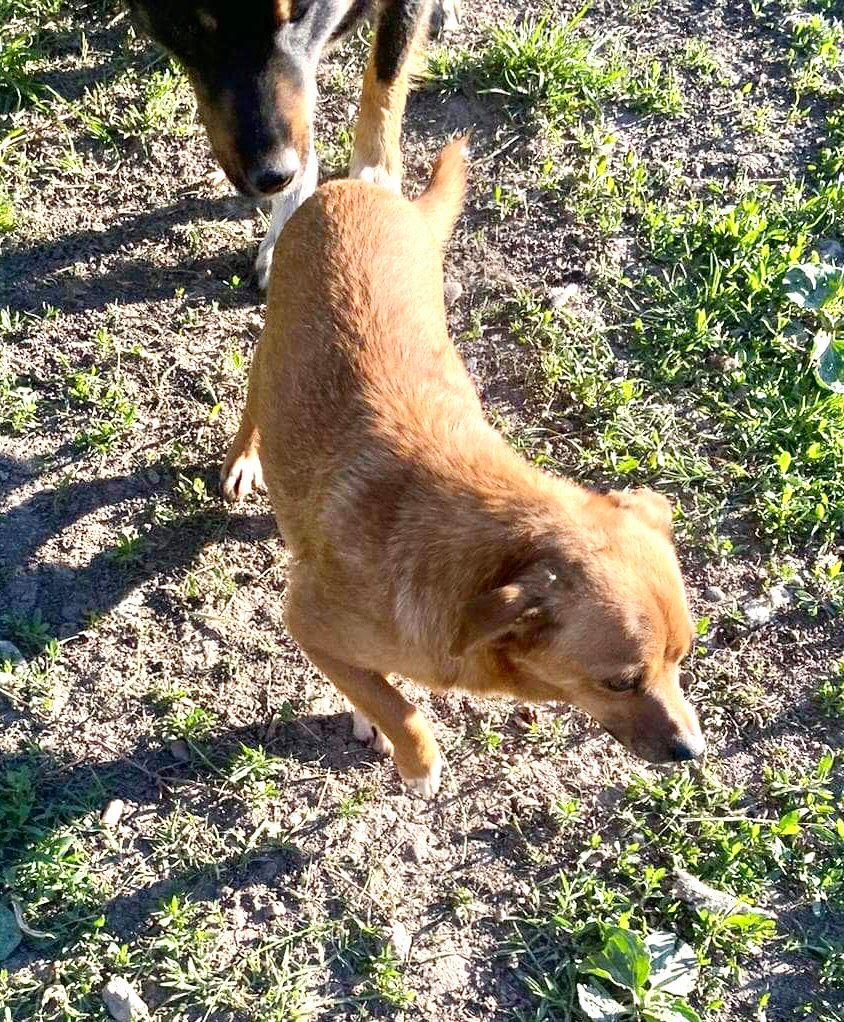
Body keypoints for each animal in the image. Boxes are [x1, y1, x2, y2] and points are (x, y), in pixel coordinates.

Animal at [125, 1, 457, 288]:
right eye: (190, 26)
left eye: (300, 11)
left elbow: (387, 70)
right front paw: (290, 219)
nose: (274, 176)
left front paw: (374, 180)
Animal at [221, 140, 702, 793]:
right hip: (269, 360)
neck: (493, 559)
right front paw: (418, 759)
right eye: (619, 682)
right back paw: (244, 461)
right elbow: (399, 705)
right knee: (252, 414)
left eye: (682, 657)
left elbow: (375, 688)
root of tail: (364, 187)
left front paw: (370, 715)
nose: (693, 751)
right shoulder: (307, 621)